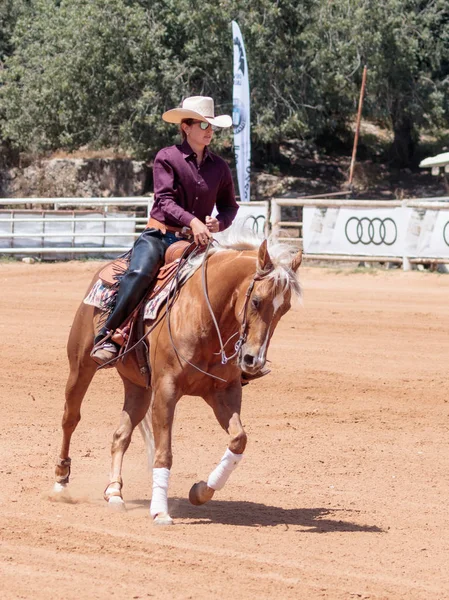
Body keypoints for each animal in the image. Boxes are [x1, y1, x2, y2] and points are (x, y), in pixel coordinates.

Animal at [54, 236, 302, 524]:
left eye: (285, 308)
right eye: (256, 301)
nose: (253, 361)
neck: (204, 313)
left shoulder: (224, 393)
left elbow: (239, 439)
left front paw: (201, 491)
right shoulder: (166, 391)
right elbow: (164, 454)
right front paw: (160, 511)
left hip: (138, 388)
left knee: (120, 435)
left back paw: (114, 493)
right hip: (80, 366)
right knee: (70, 418)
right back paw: (61, 482)